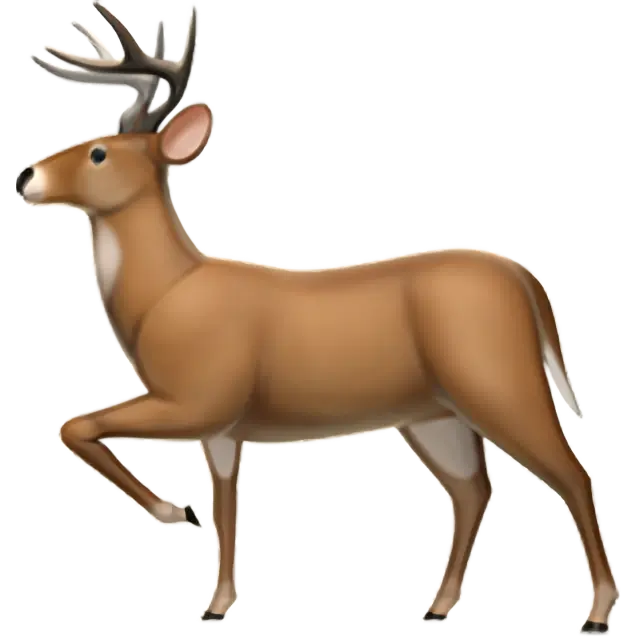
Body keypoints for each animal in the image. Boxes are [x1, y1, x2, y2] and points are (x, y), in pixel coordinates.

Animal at [17, 2, 616, 633]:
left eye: (99, 151)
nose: (25, 176)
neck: (167, 294)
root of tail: (526, 281)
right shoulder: (222, 429)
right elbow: (226, 505)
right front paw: (216, 601)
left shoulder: (200, 397)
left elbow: (77, 426)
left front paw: (176, 511)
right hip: (433, 414)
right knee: (473, 490)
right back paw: (438, 605)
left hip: (498, 380)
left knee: (572, 474)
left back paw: (597, 613)